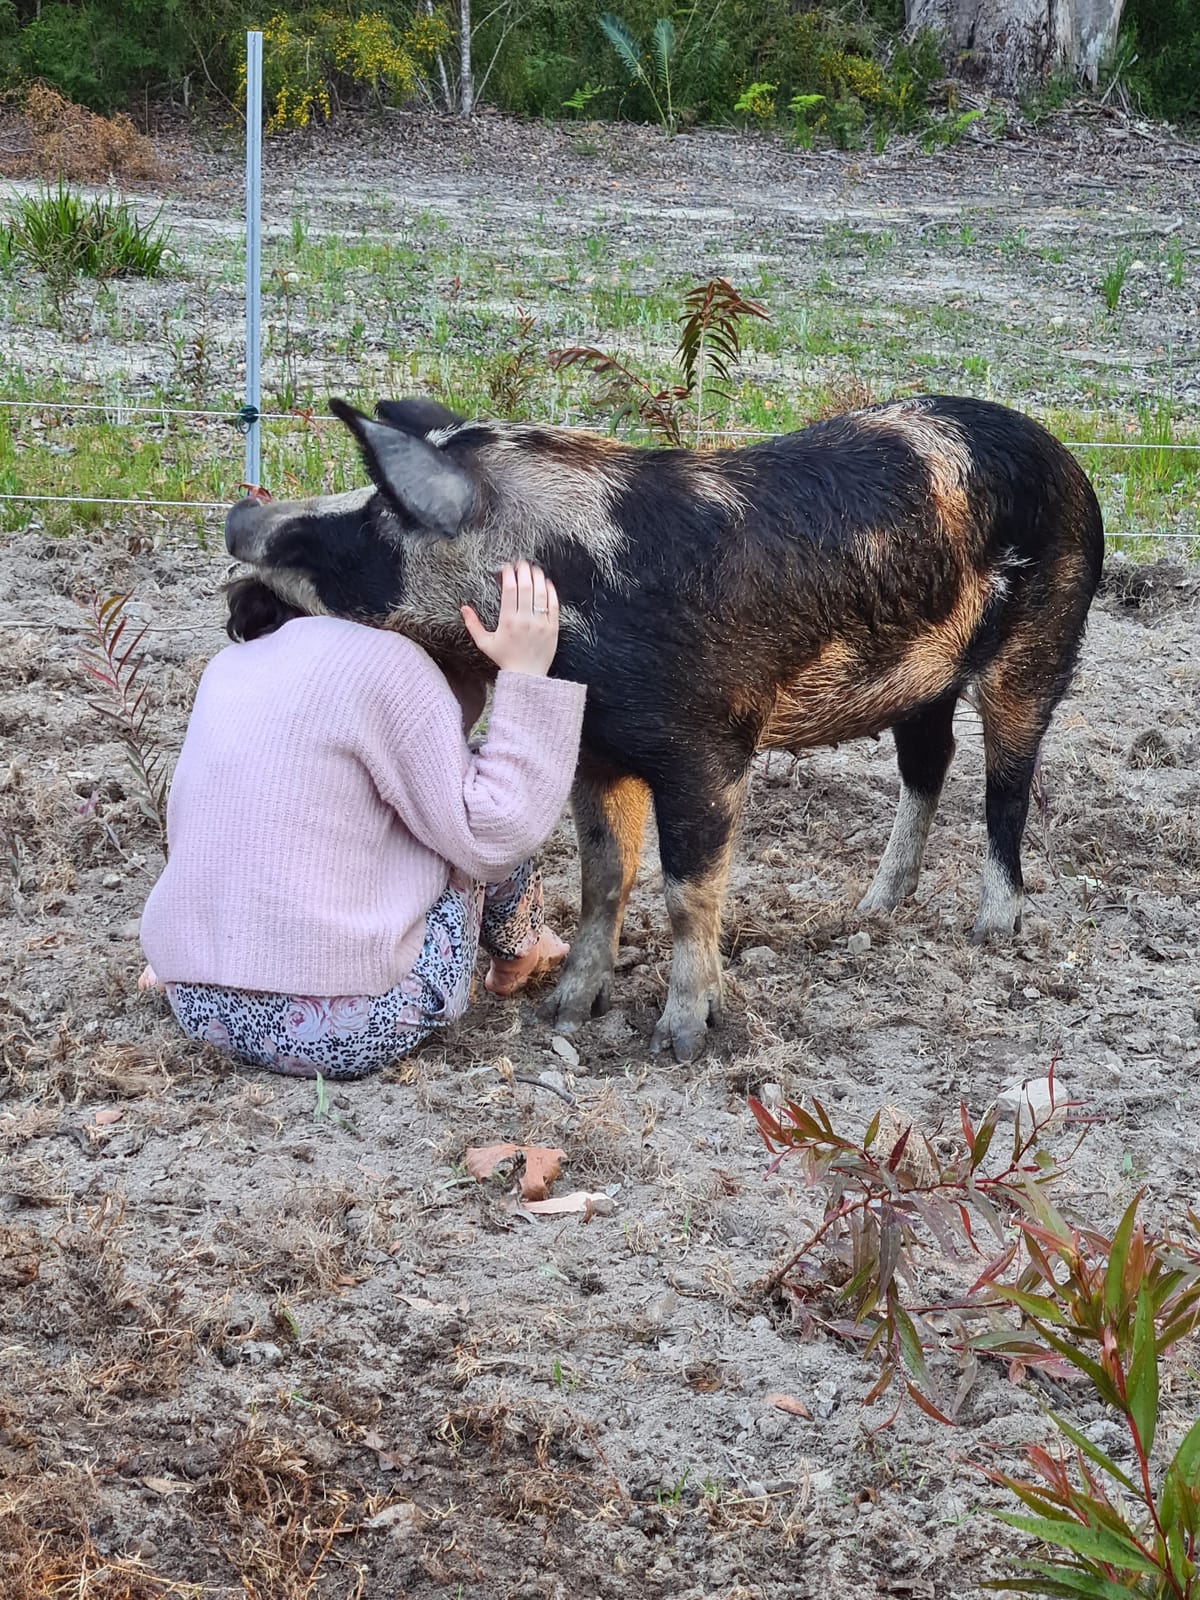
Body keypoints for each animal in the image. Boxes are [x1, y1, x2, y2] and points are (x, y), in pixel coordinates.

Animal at [223, 392, 1104, 1062]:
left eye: (376, 517)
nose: (241, 509)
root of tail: (1066, 459)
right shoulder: (594, 752)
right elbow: (604, 875)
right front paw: (564, 1014)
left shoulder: (708, 748)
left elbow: (688, 890)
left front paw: (680, 1042)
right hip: (922, 681)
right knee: (929, 762)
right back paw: (871, 911)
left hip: (1041, 644)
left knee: (1006, 783)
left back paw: (992, 933)